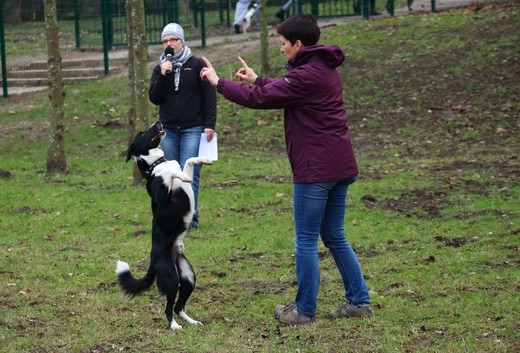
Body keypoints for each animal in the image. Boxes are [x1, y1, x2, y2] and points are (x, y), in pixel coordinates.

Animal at [116, 121, 211, 330]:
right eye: (142, 132)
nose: (158, 122)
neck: (156, 163)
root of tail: (153, 262)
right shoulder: (164, 196)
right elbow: (169, 173)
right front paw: (179, 175)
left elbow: (187, 161)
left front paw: (203, 159)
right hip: (172, 279)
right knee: (168, 309)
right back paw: (174, 326)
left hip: (188, 277)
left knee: (178, 307)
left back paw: (191, 321)